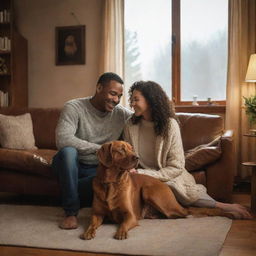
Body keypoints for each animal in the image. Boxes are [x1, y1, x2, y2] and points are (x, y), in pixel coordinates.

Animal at [80, 140, 234, 240]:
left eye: (131, 148)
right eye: (121, 149)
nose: (137, 157)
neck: (111, 183)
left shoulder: (130, 215)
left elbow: (124, 223)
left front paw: (121, 232)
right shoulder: (97, 214)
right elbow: (92, 223)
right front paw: (88, 232)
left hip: (150, 192)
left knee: (187, 211)